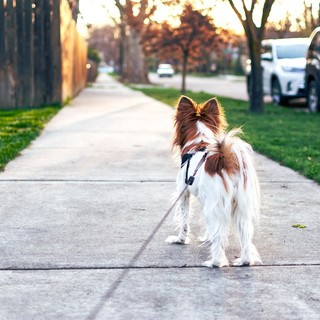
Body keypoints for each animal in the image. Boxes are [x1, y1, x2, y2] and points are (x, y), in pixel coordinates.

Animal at [166, 95, 262, 268]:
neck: (199, 142)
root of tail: (226, 159)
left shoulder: (184, 193)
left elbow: (184, 220)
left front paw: (180, 240)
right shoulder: (207, 201)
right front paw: (206, 238)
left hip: (216, 204)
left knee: (219, 236)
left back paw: (214, 262)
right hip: (240, 207)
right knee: (245, 234)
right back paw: (244, 261)